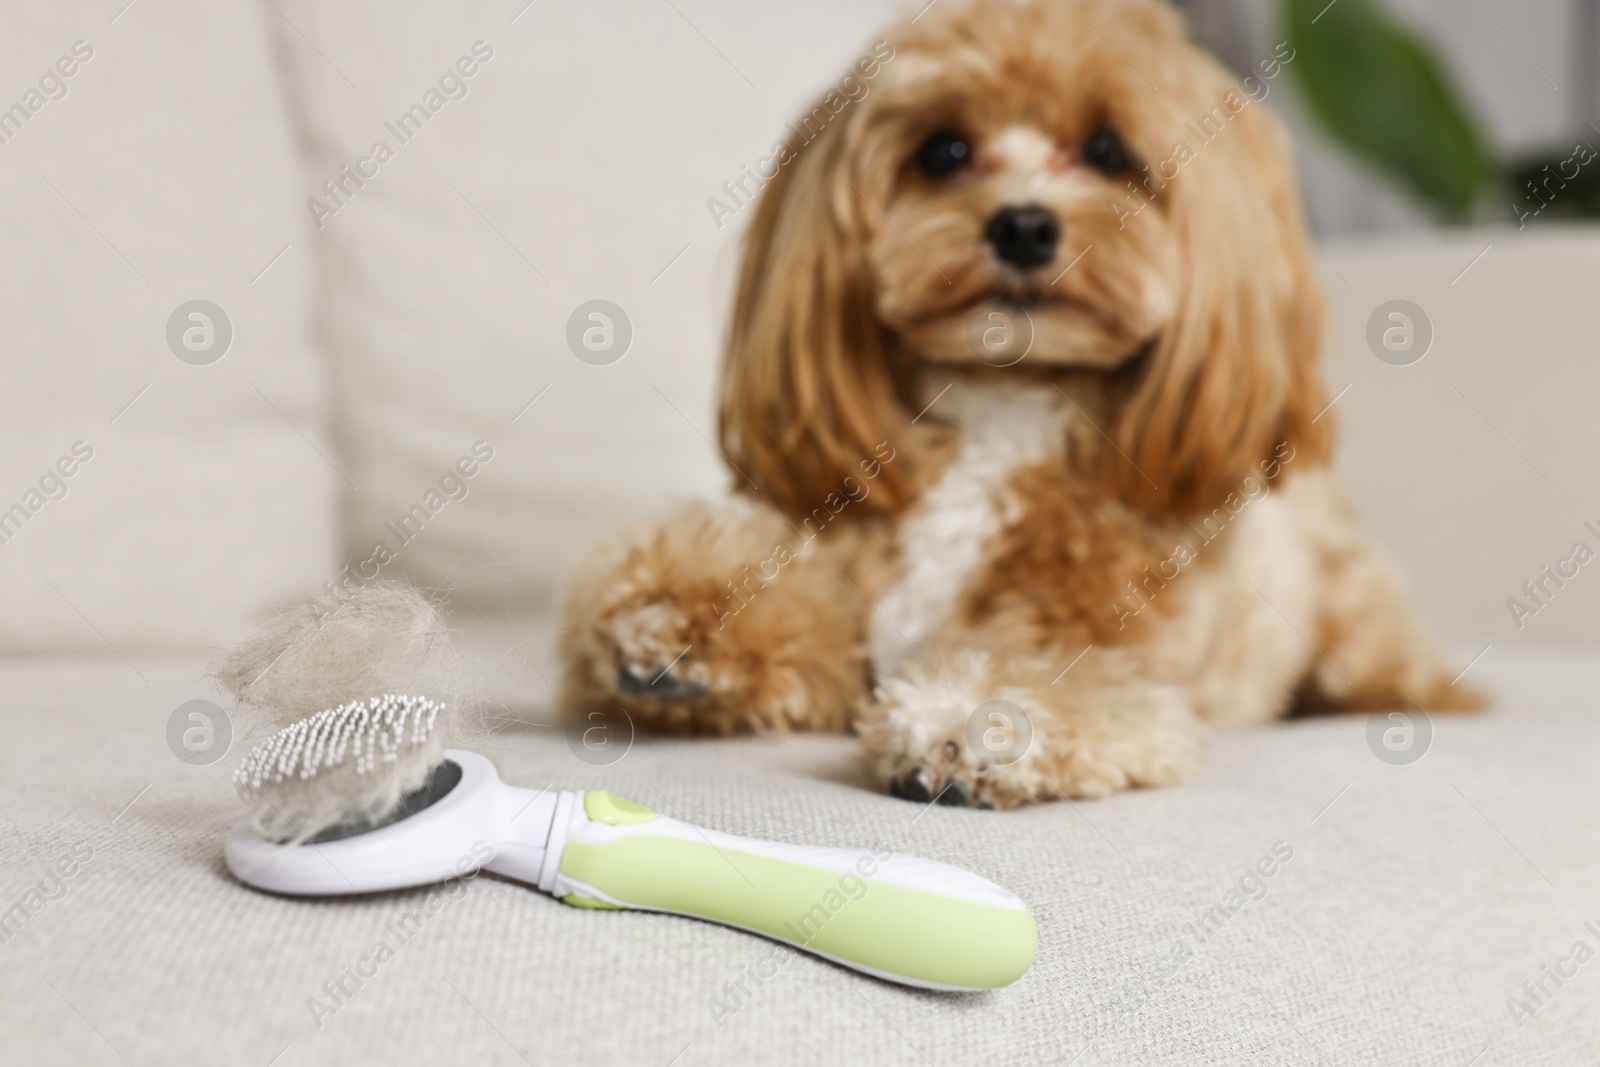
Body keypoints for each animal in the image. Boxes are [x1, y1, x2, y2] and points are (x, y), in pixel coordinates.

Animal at [556, 0, 1478, 809]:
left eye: (1108, 149)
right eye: (944, 150)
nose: (1025, 226)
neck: (1001, 409)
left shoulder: (1119, 656)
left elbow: (1075, 684)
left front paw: (969, 723)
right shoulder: (854, 631)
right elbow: (797, 622)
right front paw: (673, 618)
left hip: (1351, 615)